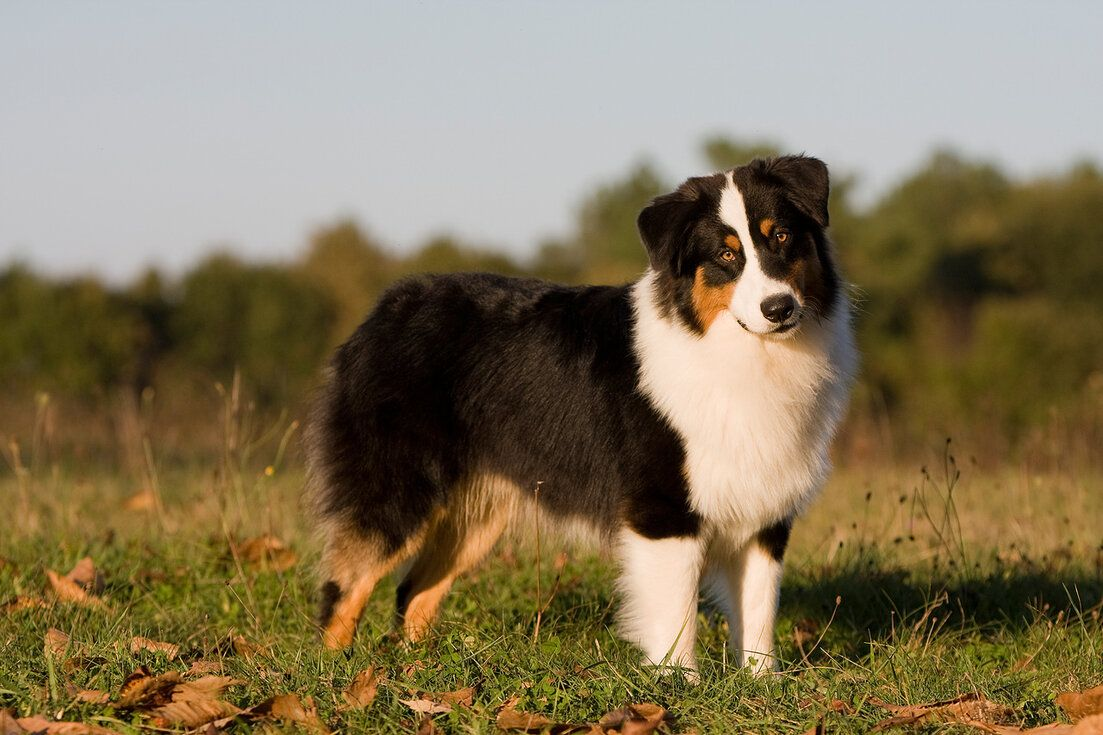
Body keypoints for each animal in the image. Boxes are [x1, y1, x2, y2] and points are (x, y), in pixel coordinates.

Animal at [306, 153, 855, 670]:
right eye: (726, 254)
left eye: (781, 236)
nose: (779, 308)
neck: (736, 352)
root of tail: (385, 311)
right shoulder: (663, 510)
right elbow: (675, 616)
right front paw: (679, 686)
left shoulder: (765, 513)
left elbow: (758, 615)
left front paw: (761, 685)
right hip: (396, 492)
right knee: (344, 588)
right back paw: (331, 676)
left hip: (476, 515)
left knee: (412, 592)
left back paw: (419, 670)